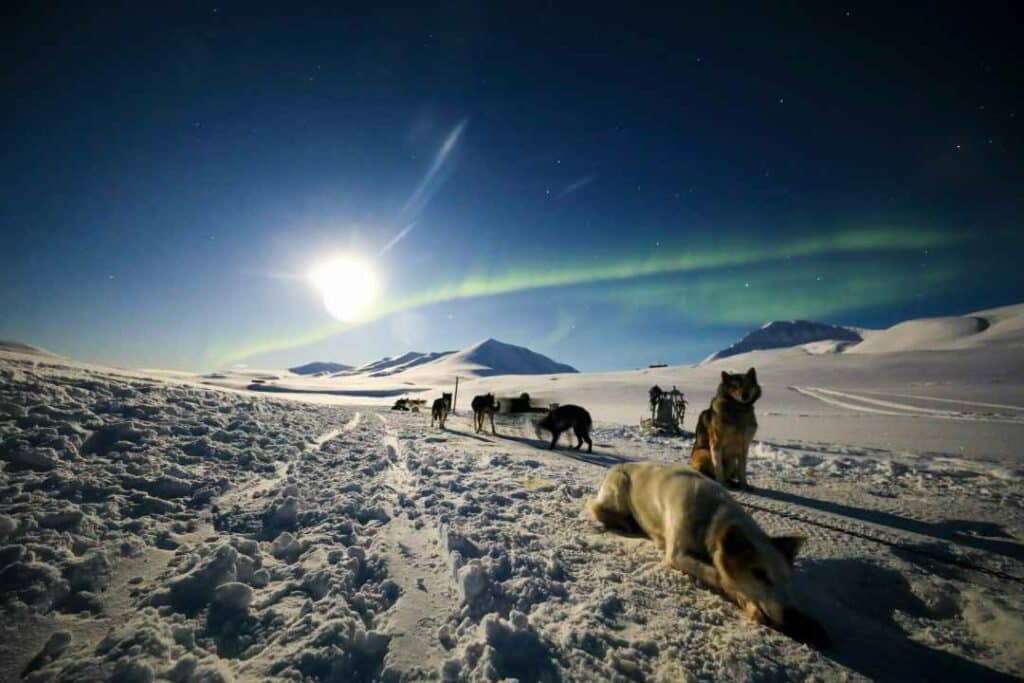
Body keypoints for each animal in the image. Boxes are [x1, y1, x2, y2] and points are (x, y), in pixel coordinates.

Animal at [585, 462, 823, 643]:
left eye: (787, 580)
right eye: (759, 574)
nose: (792, 616)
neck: (711, 515)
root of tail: (617, 465)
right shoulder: (678, 555)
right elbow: (717, 575)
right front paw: (745, 600)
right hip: (619, 488)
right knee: (598, 508)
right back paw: (626, 523)